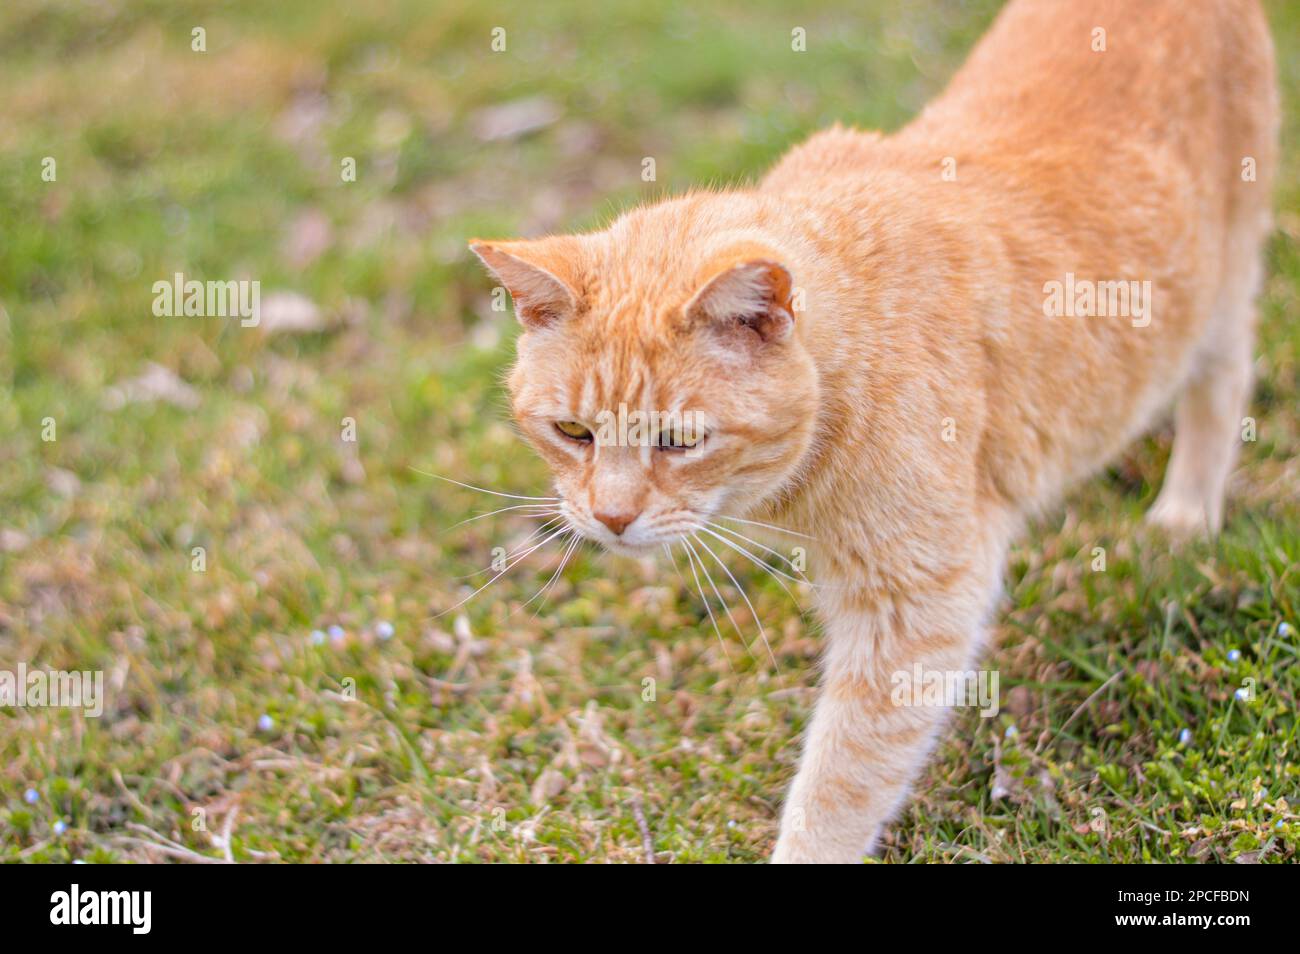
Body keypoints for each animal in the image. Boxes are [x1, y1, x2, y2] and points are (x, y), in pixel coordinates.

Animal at [470, 0, 1279, 868]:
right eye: (573, 431)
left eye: (680, 441)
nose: (612, 518)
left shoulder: (916, 606)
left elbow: (840, 782)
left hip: (1223, 293)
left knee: (1223, 381)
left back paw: (1186, 515)